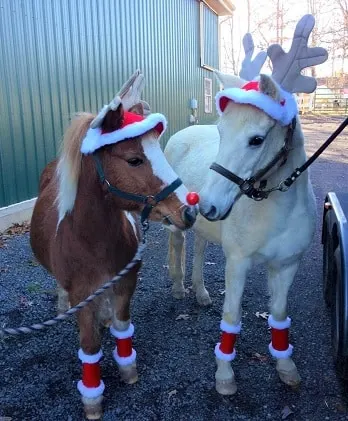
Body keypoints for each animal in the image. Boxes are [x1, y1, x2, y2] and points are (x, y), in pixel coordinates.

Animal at [29, 71, 196, 416]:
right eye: (133, 159)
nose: (189, 211)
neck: (92, 241)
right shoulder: (81, 293)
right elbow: (90, 345)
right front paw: (92, 398)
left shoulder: (126, 281)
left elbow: (122, 325)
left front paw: (127, 370)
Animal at [164, 13, 328, 394]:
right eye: (221, 132)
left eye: (256, 139)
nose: (207, 205)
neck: (276, 214)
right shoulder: (237, 263)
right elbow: (232, 316)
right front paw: (225, 376)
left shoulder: (286, 266)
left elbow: (279, 317)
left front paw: (286, 367)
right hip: (178, 221)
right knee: (178, 246)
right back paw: (179, 288)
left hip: (203, 228)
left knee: (197, 249)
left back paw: (200, 292)